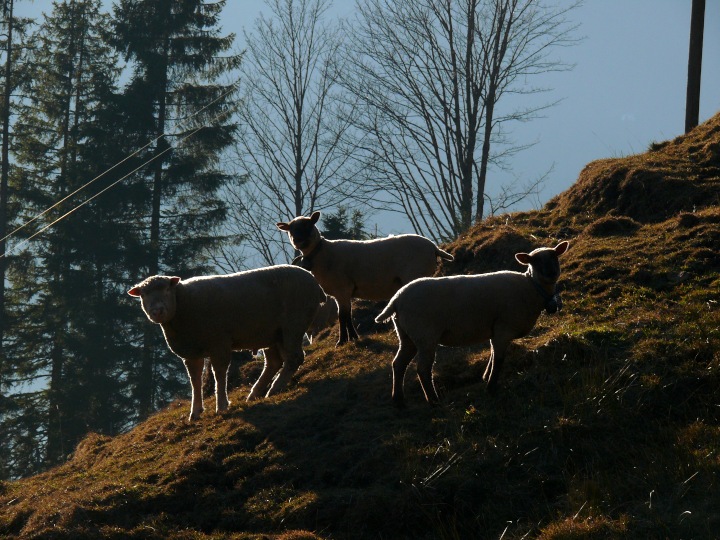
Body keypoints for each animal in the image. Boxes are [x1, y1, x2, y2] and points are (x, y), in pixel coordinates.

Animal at [126, 266, 324, 422]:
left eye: (167, 289)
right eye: (143, 295)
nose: (157, 311)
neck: (183, 305)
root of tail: (315, 282)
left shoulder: (219, 342)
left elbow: (219, 374)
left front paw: (221, 405)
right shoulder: (191, 352)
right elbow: (195, 380)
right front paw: (195, 412)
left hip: (293, 324)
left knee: (294, 358)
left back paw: (274, 389)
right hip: (272, 334)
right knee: (275, 362)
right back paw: (256, 393)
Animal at [278, 211, 452, 346]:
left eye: (308, 225)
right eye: (291, 229)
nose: (298, 241)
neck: (322, 253)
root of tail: (434, 247)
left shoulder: (342, 289)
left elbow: (343, 316)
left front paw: (342, 341)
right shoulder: (343, 293)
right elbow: (347, 315)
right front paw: (353, 337)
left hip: (415, 274)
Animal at [376, 243, 568, 408]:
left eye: (554, 256)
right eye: (534, 261)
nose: (551, 273)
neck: (531, 288)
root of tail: (396, 299)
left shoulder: (495, 330)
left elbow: (493, 354)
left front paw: (485, 377)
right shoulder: (503, 328)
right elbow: (498, 359)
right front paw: (491, 387)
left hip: (407, 336)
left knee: (398, 364)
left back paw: (399, 401)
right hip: (425, 335)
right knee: (423, 369)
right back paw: (434, 401)